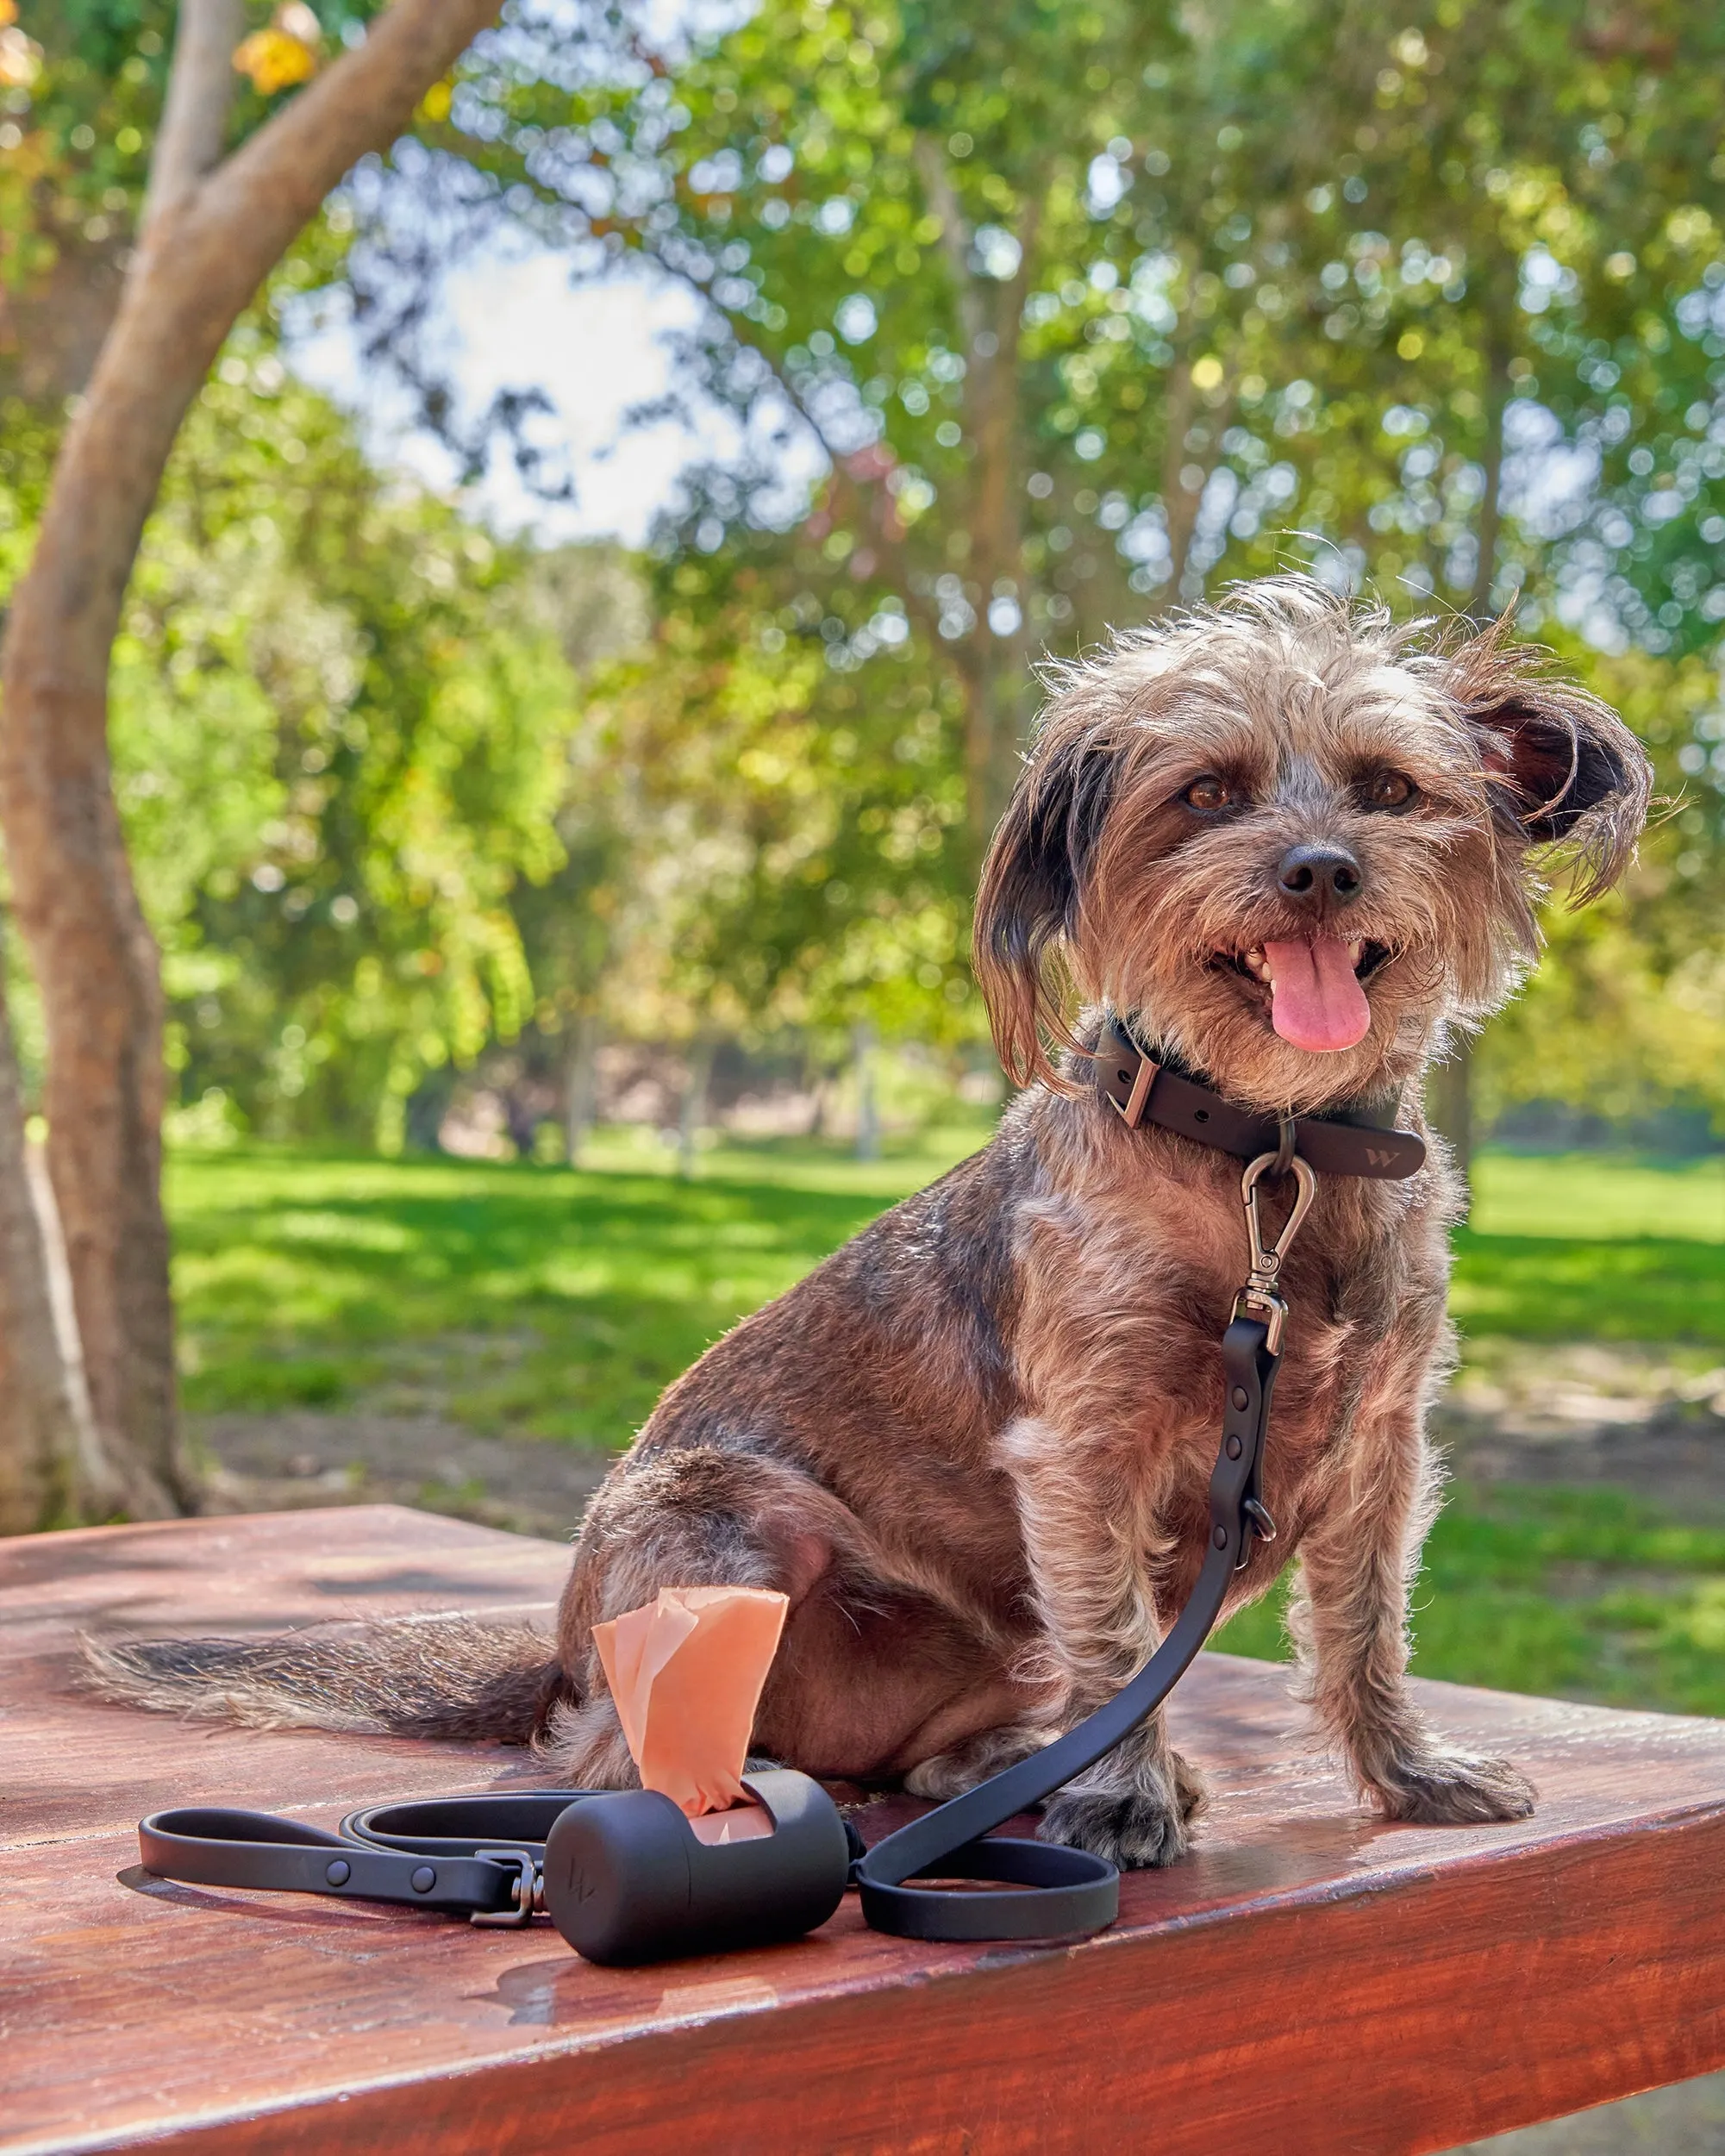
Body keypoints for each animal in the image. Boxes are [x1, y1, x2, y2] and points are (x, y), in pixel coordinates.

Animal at [97, 578, 1655, 1871]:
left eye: (1392, 788)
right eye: (1206, 793)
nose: (1321, 867)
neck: (1270, 1157)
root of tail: (561, 1653)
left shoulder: (1379, 1450)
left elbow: (1364, 1628)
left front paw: (1402, 1772)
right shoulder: (1083, 1454)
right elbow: (1119, 1641)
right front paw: (1127, 1794)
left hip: (967, 1641)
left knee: (916, 1759)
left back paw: (999, 1771)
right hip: (733, 1524)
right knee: (611, 1752)